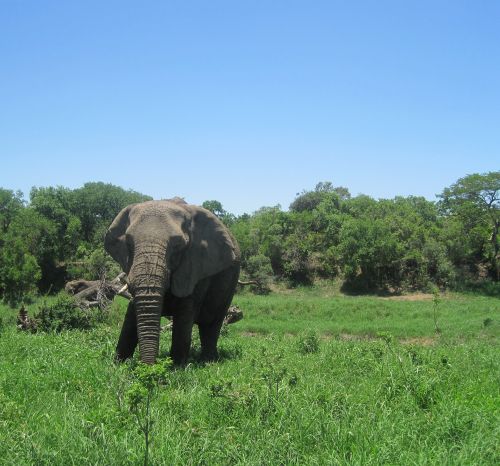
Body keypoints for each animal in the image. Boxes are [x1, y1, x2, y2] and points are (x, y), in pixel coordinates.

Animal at [104, 197, 240, 364]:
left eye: (177, 245)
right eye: (128, 243)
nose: (150, 365)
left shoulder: (196, 264)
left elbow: (185, 312)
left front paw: (177, 365)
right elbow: (131, 313)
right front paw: (119, 363)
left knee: (211, 323)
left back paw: (209, 361)